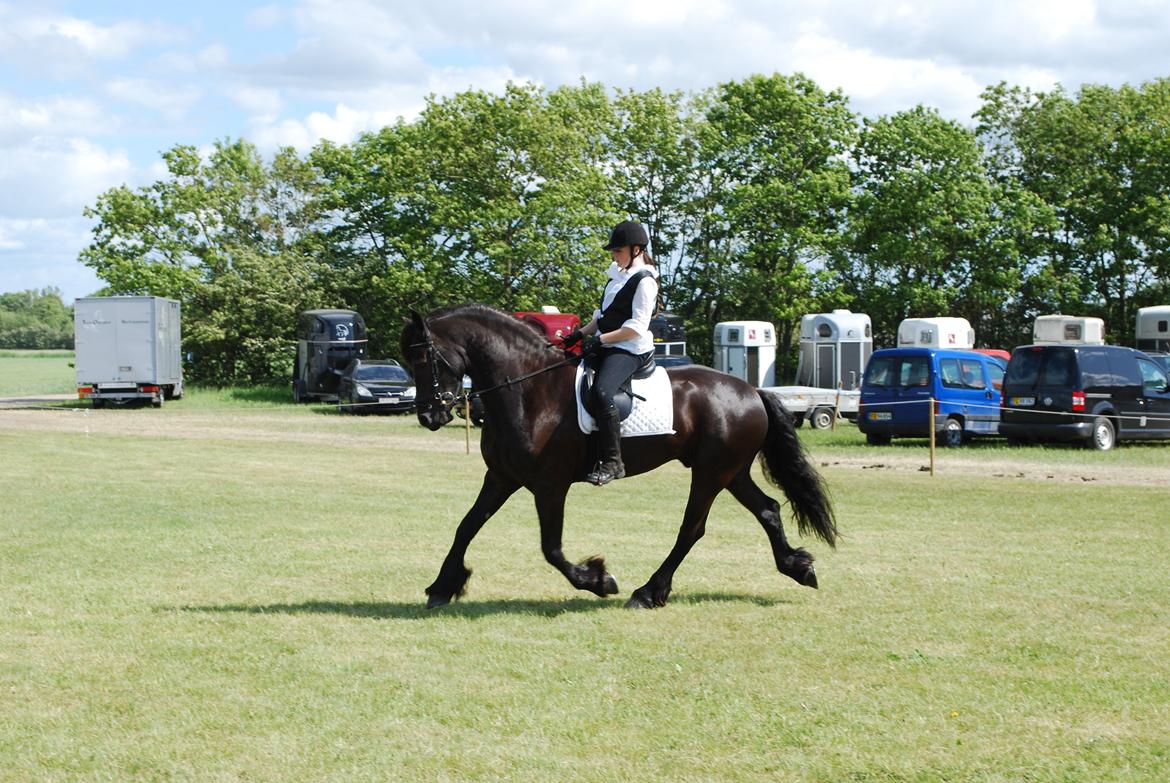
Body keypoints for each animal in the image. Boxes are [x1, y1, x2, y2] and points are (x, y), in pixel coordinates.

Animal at [397, 301, 837, 608]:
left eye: (423, 357)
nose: (429, 415)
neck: (528, 390)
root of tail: (752, 391)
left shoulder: (549, 485)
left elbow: (551, 548)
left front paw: (597, 580)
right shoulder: (502, 478)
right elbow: (466, 526)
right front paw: (443, 586)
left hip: (712, 473)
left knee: (692, 529)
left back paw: (648, 592)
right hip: (732, 471)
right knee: (768, 510)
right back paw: (798, 568)